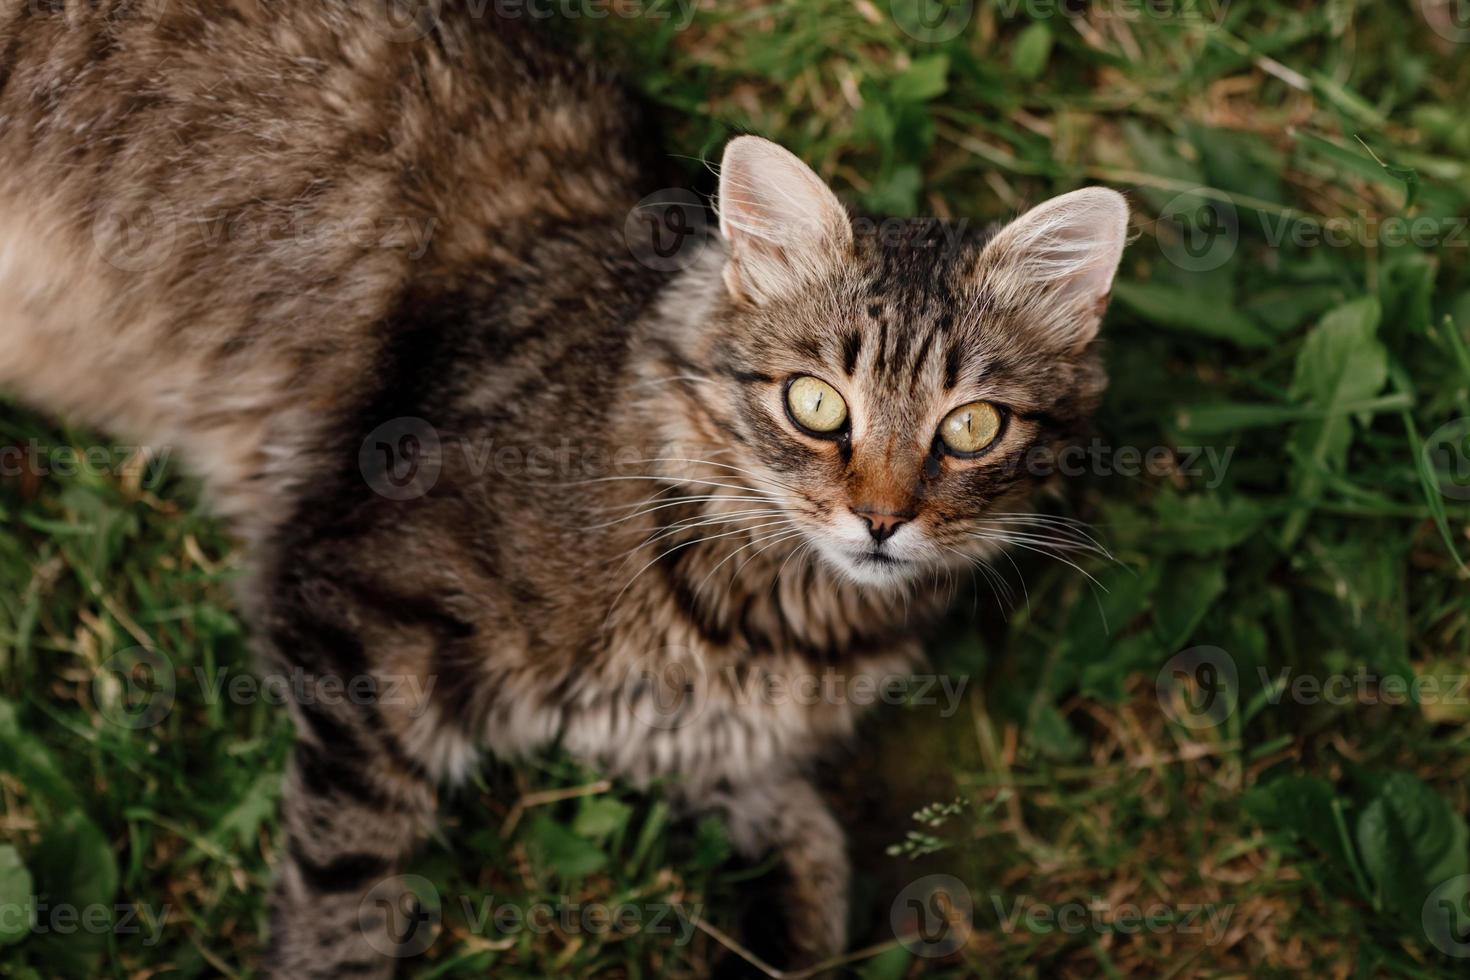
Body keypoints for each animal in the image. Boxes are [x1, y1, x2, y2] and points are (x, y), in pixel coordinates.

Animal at [0, 3, 1123, 975]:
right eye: (815, 404)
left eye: (971, 428)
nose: (882, 519)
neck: (781, 612)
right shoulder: (358, 607)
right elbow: (347, 875)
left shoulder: (704, 746)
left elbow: (813, 842)